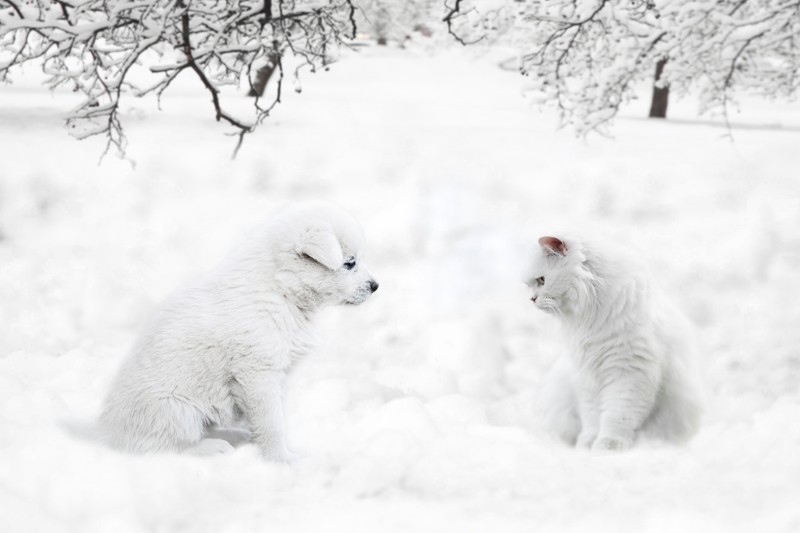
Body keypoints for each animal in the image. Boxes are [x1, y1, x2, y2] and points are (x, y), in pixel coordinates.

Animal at [98, 202, 380, 460]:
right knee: (163, 447)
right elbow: (272, 422)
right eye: (349, 263)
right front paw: (281, 459)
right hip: (176, 410)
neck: (281, 290)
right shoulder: (258, 373)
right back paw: (212, 448)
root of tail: (107, 434)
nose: (375, 286)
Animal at [528, 234, 704, 448]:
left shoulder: (628, 372)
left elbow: (617, 415)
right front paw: (587, 444)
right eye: (531, 284)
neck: (590, 318)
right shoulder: (586, 376)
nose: (531, 299)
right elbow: (592, 417)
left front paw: (608, 445)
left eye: (541, 280)